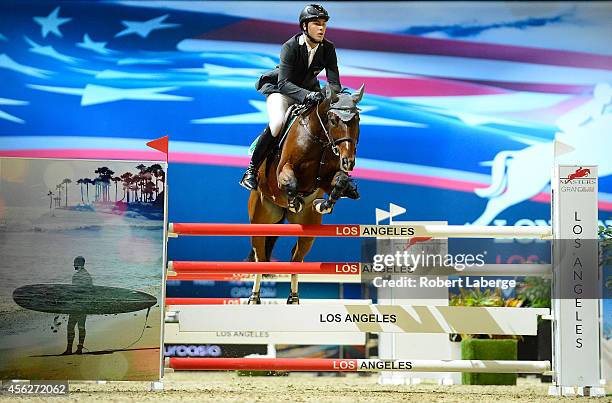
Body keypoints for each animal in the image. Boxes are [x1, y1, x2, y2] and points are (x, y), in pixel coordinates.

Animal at [247, 86, 366, 306]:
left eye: (357, 119)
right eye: (333, 119)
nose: (348, 161)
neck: (320, 138)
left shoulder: (326, 179)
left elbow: (339, 183)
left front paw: (324, 204)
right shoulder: (283, 172)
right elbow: (290, 182)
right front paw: (296, 201)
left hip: (308, 231)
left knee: (296, 258)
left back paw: (294, 299)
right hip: (260, 218)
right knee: (260, 256)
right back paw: (254, 297)